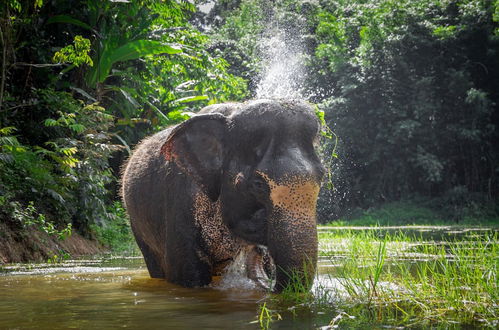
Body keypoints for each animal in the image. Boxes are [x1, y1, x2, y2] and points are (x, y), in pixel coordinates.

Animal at [121, 99, 324, 292]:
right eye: (257, 184)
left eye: (322, 177)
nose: (261, 251)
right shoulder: (180, 202)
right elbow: (189, 277)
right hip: (137, 226)